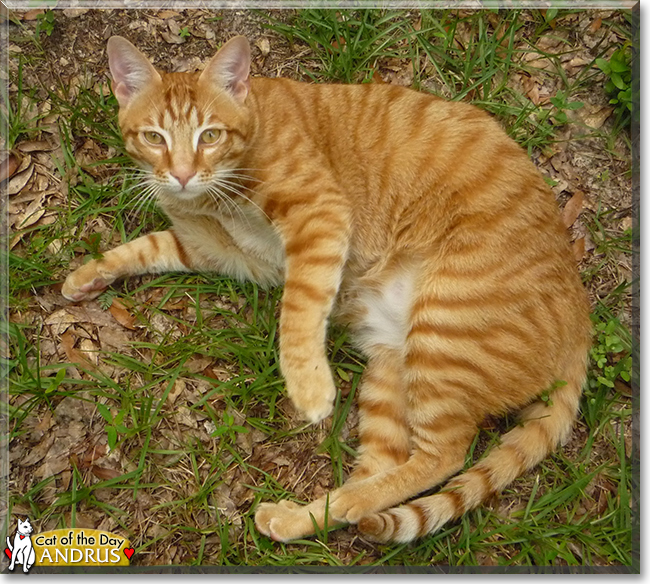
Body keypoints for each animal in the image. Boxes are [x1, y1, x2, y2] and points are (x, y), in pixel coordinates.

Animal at [63, 35, 588, 544]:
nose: (183, 174)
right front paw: (87, 275)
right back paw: (308, 517)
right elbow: (147, 246)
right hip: (393, 371)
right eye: (154, 138)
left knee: (445, 455)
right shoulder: (219, 252)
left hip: (444, 330)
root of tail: (581, 316)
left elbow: (298, 311)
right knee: (381, 470)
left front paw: (309, 386)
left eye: (209, 135)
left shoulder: (319, 216)